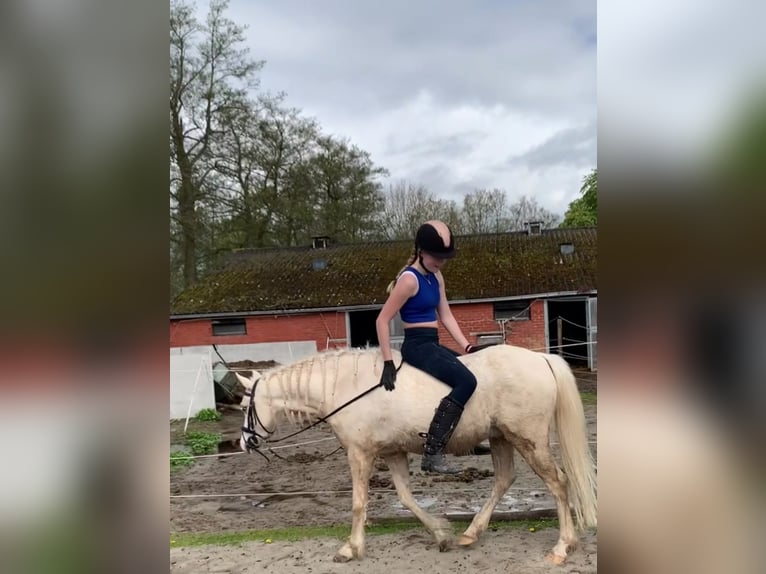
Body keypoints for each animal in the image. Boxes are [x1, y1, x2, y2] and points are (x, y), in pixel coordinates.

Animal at [236, 344, 597, 565]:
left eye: (244, 406)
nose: (244, 443)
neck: (346, 388)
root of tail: (541, 358)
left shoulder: (360, 454)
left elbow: (358, 504)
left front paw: (351, 548)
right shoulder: (392, 453)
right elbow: (407, 498)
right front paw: (440, 534)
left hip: (528, 439)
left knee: (558, 483)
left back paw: (562, 547)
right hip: (500, 438)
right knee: (504, 480)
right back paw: (470, 533)